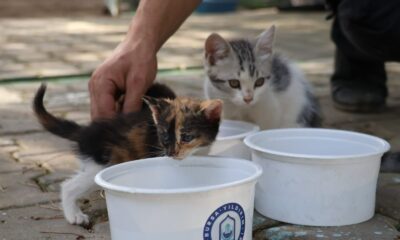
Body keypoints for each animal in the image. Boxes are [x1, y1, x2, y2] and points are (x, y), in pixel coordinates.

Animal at [33, 83, 222, 226]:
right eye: (164, 136)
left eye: (187, 137)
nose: (170, 153)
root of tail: (86, 132)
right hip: (100, 165)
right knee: (68, 185)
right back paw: (74, 215)